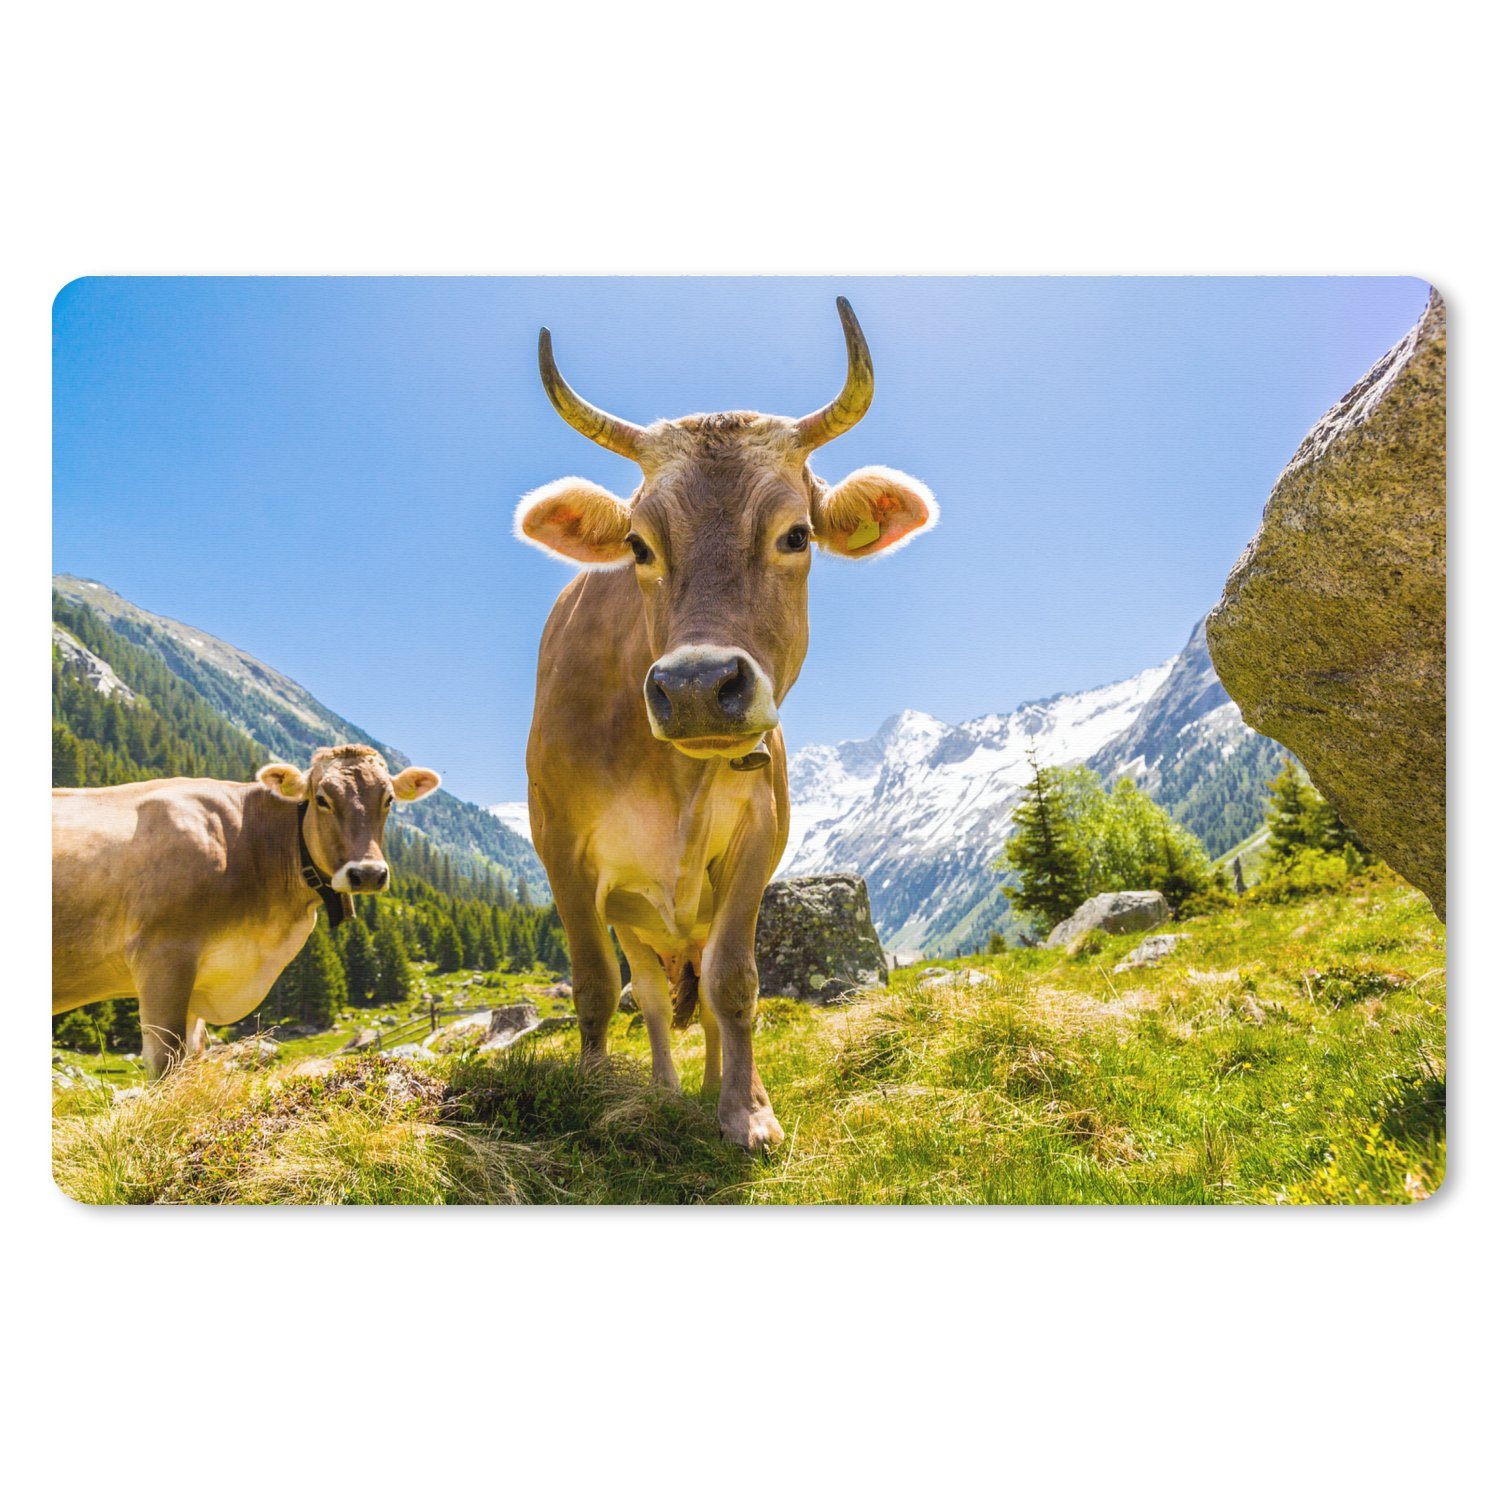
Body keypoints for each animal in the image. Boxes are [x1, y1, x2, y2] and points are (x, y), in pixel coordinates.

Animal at [52, 745, 440, 1076]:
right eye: (322, 799)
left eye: (388, 799)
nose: (368, 873)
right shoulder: (161, 955)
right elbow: (166, 1061)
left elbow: (193, 1057)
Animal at [516, 299, 938, 1150]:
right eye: (638, 545)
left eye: (796, 535)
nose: (697, 686)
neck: (671, 776)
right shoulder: (559, 844)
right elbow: (593, 985)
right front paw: (596, 1094)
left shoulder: (757, 837)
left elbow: (734, 983)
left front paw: (745, 1109)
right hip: (634, 916)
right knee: (648, 995)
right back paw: (664, 1088)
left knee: (704, 990)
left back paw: (710, 1085)